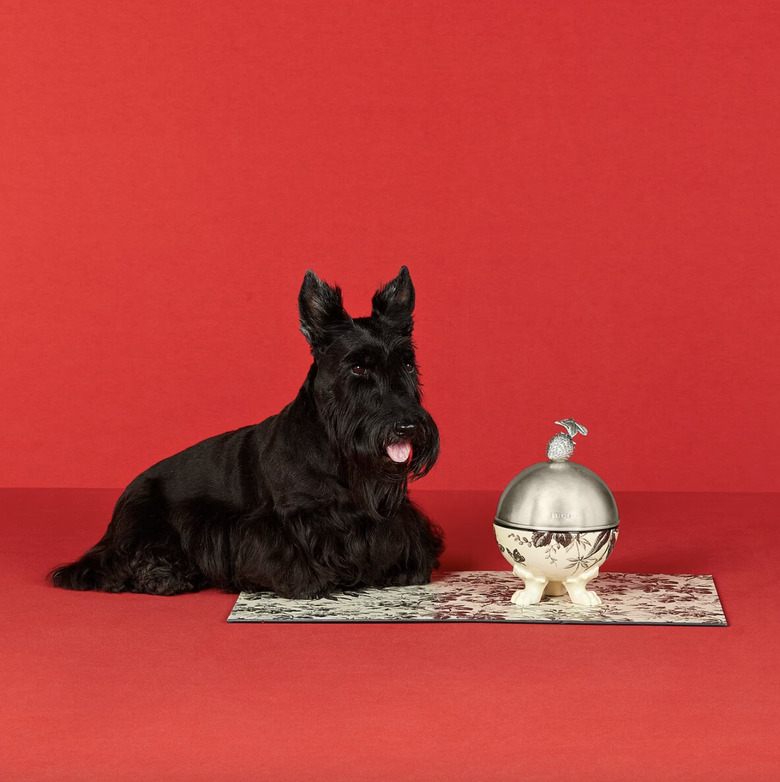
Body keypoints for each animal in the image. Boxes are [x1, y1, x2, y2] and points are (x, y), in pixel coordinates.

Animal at [50, 270, 444, 600]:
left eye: (408, 363)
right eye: (358, 367)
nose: (408, 426)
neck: (337, 454)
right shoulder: (287, 522)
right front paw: (309, 582)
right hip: (146, 519)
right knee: (128, 559)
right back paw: (165, 578)